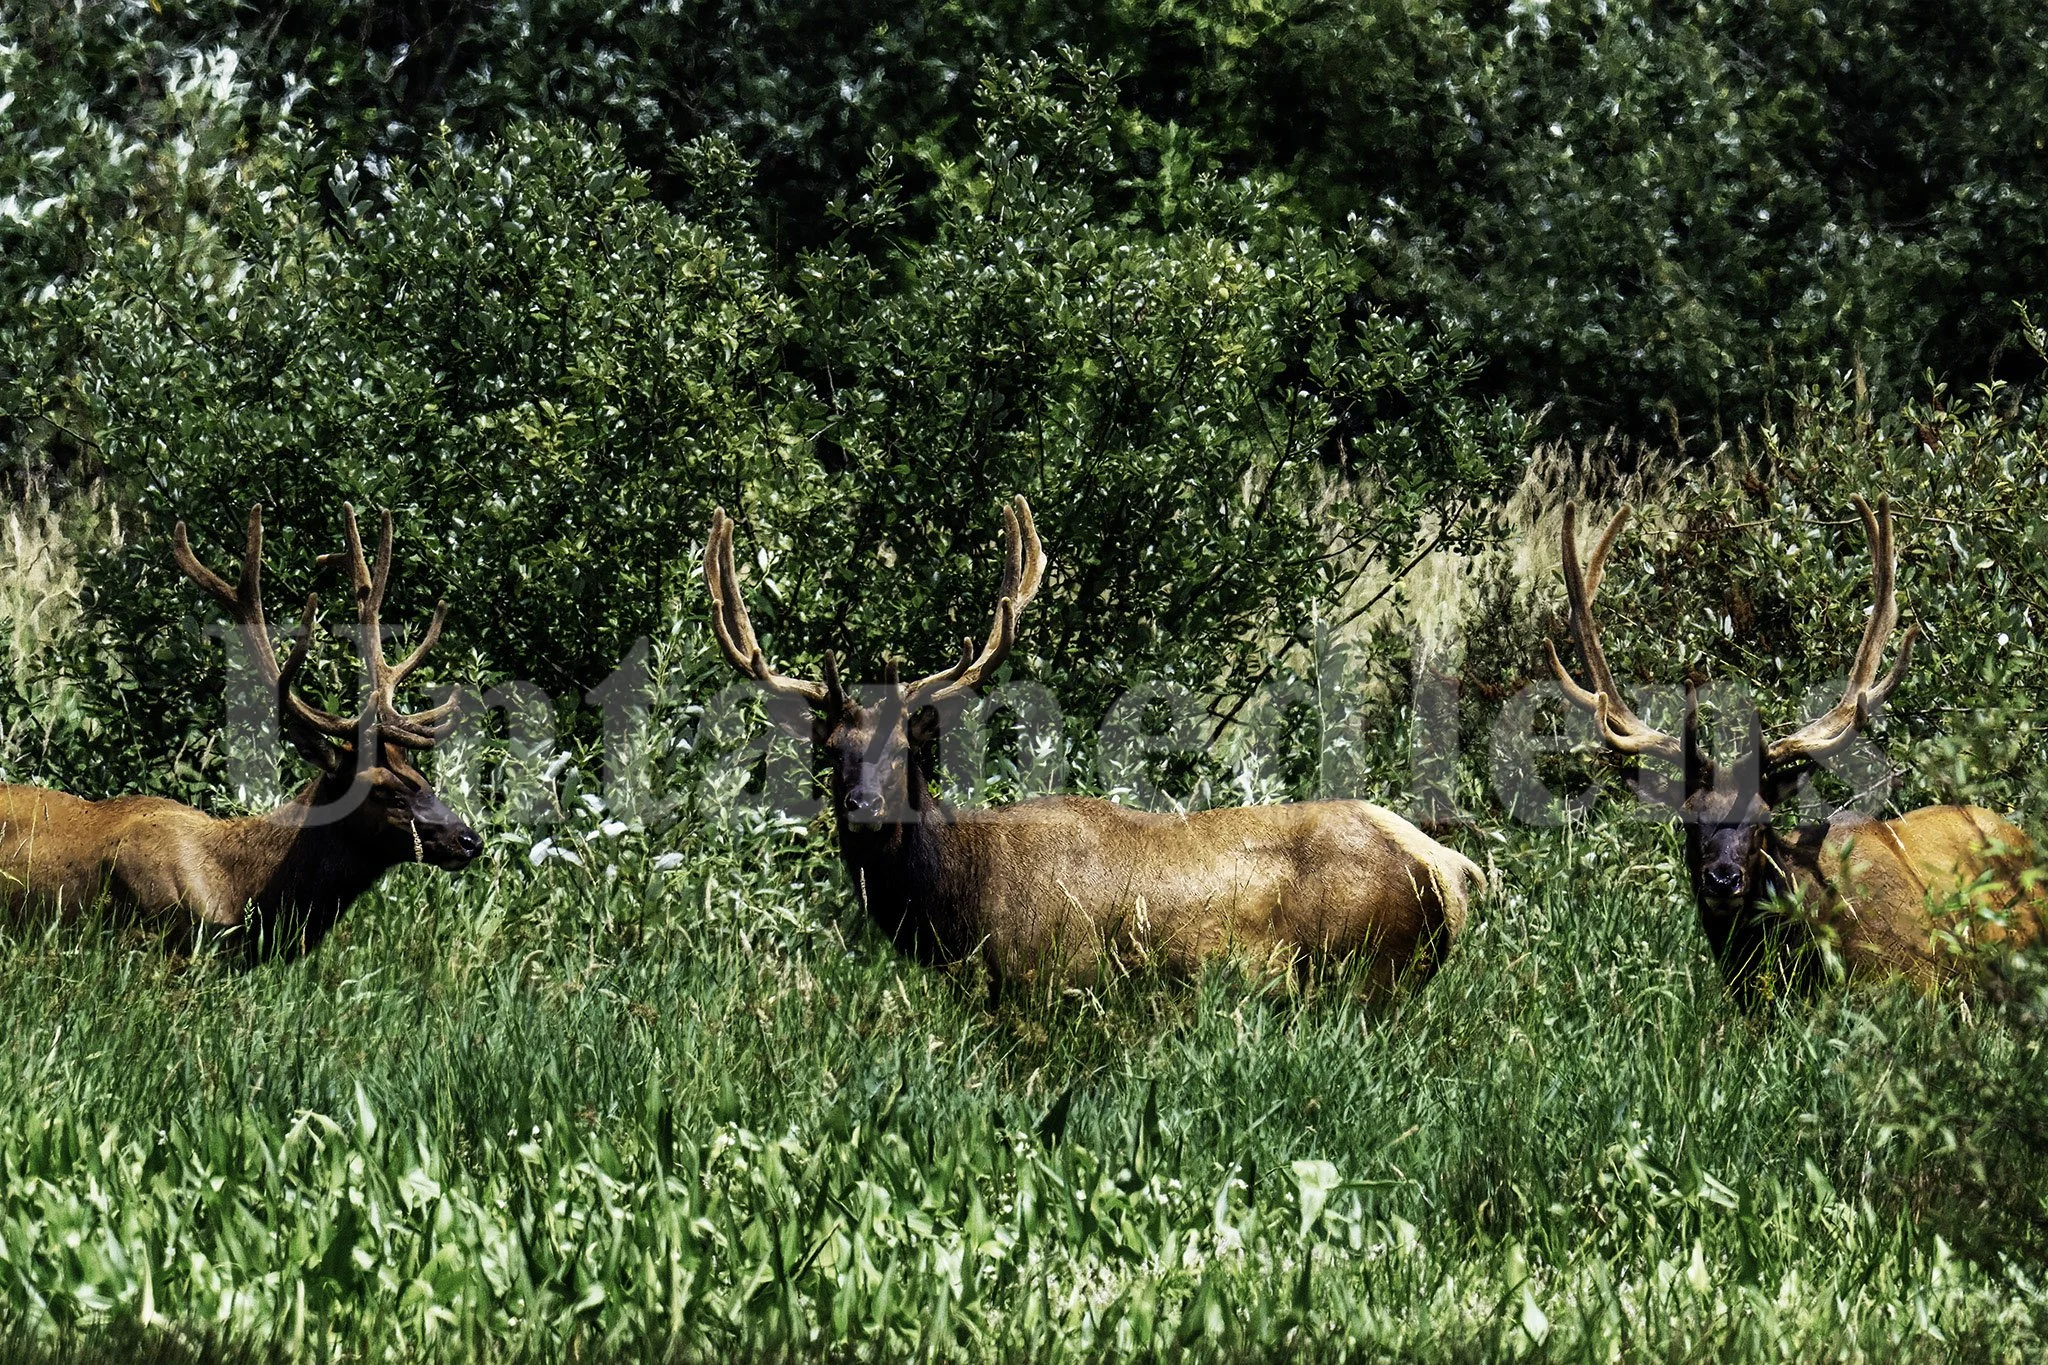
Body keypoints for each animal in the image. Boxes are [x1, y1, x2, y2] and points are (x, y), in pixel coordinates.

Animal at [705, 496, 1485, 997]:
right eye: (831, 750)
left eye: (904, 752)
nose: (863, 806)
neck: (956, 904)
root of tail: (1450, 868)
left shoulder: (1050, 981)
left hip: (1366, 976)